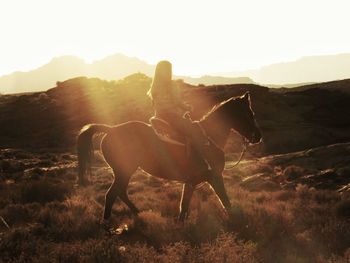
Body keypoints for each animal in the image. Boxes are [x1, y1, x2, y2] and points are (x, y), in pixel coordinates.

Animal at [77, 92, 262, 222]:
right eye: (249, 114)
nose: (258, 136)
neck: (209, 138)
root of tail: (110, 130)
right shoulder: (214, 177)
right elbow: (225, 201)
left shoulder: (191, 182)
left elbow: (184, 207)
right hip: (124, 170)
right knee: (112, 194)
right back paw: (108, 224)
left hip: (124, 171)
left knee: (120, 192)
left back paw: (138, 213)